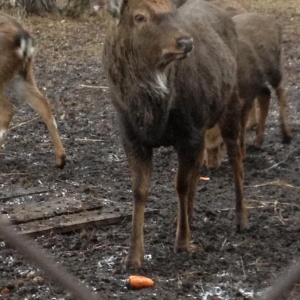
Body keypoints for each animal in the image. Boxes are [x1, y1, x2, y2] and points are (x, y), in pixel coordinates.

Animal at [102, 0, 247, 268]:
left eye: (171, 11)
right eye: (139, 17)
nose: (186, 42)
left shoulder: (189, 133)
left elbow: (180, 184)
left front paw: (182, 243)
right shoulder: (131, 136)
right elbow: (139, 191)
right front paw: (133, 256)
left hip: (231, 102)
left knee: (236, 158)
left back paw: (241, 219)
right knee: (199, 166)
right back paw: (186, 216)